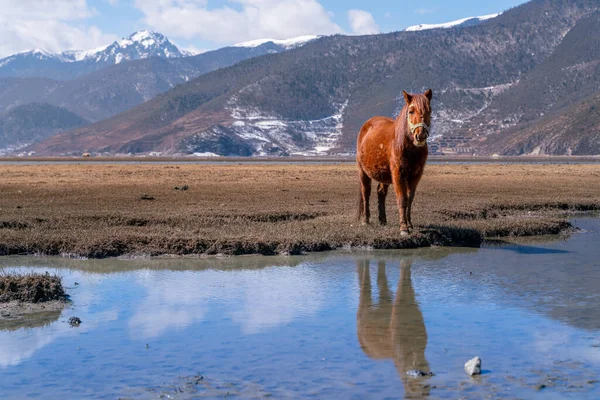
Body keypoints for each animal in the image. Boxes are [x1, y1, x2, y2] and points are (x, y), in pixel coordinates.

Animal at [356, 89, 432, 236]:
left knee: (381, 192)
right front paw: (403, 228)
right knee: (366, 192)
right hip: (363, 172)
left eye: (429, 110)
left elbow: (410, 199)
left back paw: (383, 220)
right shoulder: (398, 173)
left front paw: (410, 224)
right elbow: (402, 199)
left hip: (384, 174)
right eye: (411, 111)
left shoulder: (416, 175)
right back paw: (365, 220)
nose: (420, 136)